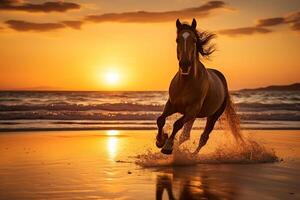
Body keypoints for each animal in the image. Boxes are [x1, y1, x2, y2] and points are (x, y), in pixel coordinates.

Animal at [156, 18, 243, 155]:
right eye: (177, 40)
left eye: (194, 40)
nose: (185, 64)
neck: (185, 83)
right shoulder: (171, 105)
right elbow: (160, 119)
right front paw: (160, 140)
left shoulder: (192, 110)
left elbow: (177, 124)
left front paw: (167, 146)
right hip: (193, 116)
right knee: (185, 135)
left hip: (212, 116)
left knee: (203, 138)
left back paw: (191, 156)